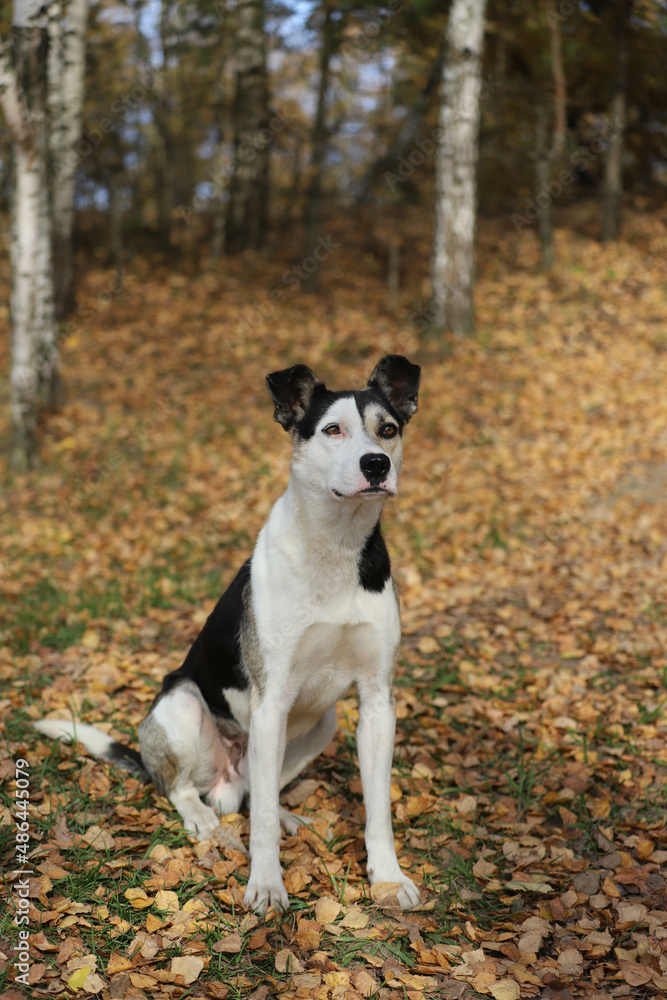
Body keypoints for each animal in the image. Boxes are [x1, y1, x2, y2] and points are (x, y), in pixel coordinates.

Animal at [36, 354, 420, 916]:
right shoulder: (270, 699)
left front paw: (388, 878)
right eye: (333, 430)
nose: (376, 465)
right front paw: (266, 885)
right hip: (184, 704)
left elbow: (378, 812)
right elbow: (258, 826)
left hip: (320, 725)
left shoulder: (376, 702)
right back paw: (200, 815)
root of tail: (227, 780)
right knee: (187, 789)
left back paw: (285, 815)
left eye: (387, 430)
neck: (336, 545)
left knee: (261, 794)